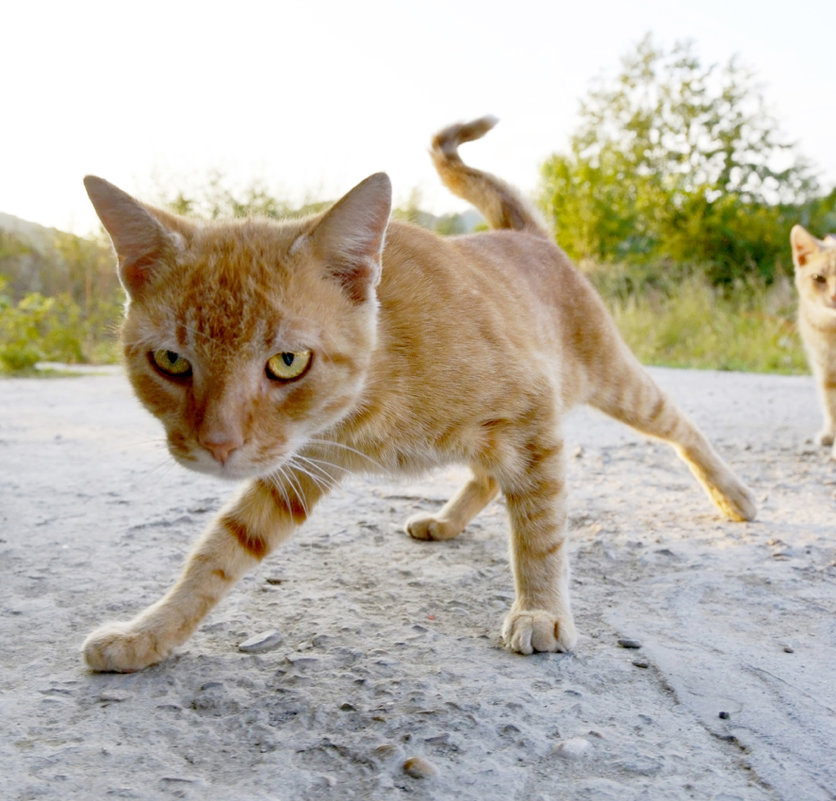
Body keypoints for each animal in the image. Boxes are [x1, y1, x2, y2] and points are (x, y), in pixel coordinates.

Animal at [81, 117, 756, 668]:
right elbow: (217, 552)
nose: (218, 445)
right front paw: (150, 632)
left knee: (678, 426)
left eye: (287, 362)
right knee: (489, 476)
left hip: (612, 384)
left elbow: (541, 529)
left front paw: (541, 608)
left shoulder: (533, 415)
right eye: (171, 361)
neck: (372, 396)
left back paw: (733, 494)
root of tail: (525, 234)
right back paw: (446, 520)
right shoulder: (300, 464)